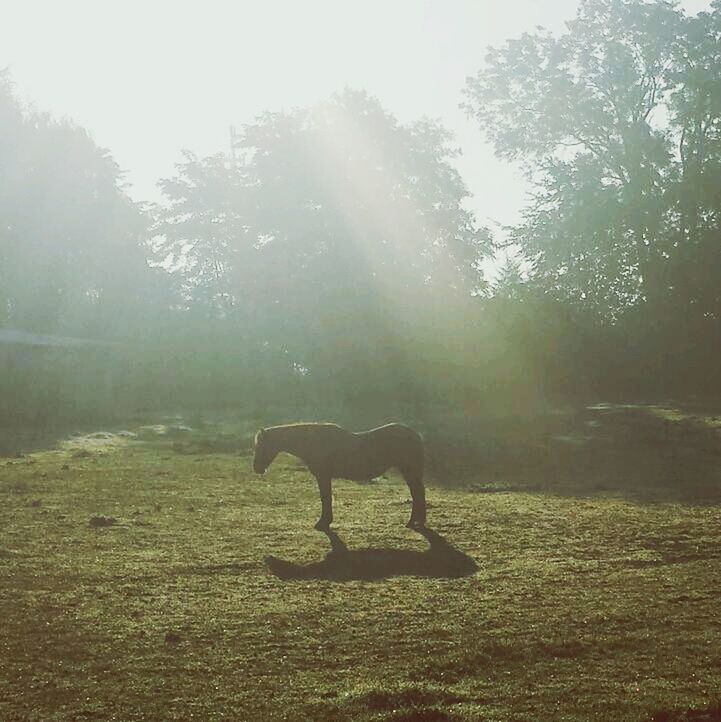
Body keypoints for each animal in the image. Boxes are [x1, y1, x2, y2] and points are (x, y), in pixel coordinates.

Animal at [252, 422, 424, 528]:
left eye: (261, 446)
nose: (257, 469)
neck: (314, 442)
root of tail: (415, 435)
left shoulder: (323, 476)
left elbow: (326, 498)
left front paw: (323, 523)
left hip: (409, 471)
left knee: (417, 495)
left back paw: (414, 522)